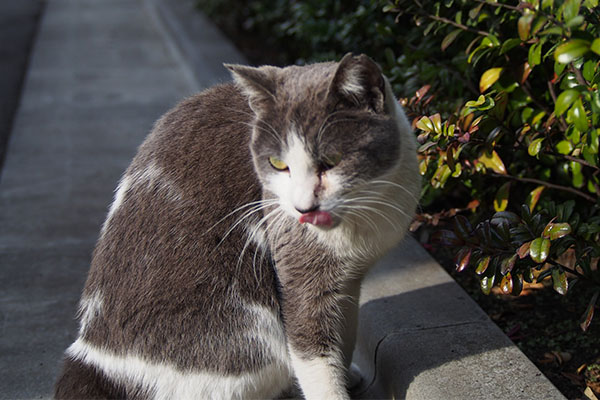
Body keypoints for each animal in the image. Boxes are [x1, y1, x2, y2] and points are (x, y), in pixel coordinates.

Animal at [55, 54, 422, 400]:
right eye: (278, 164)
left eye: (331, 161)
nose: (303, 207)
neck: (364, 212)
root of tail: (91, 357)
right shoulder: (299, 267)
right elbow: (313, 353)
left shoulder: (349, 280)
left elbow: (344, 336)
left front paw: (346, 373)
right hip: (250, 335)